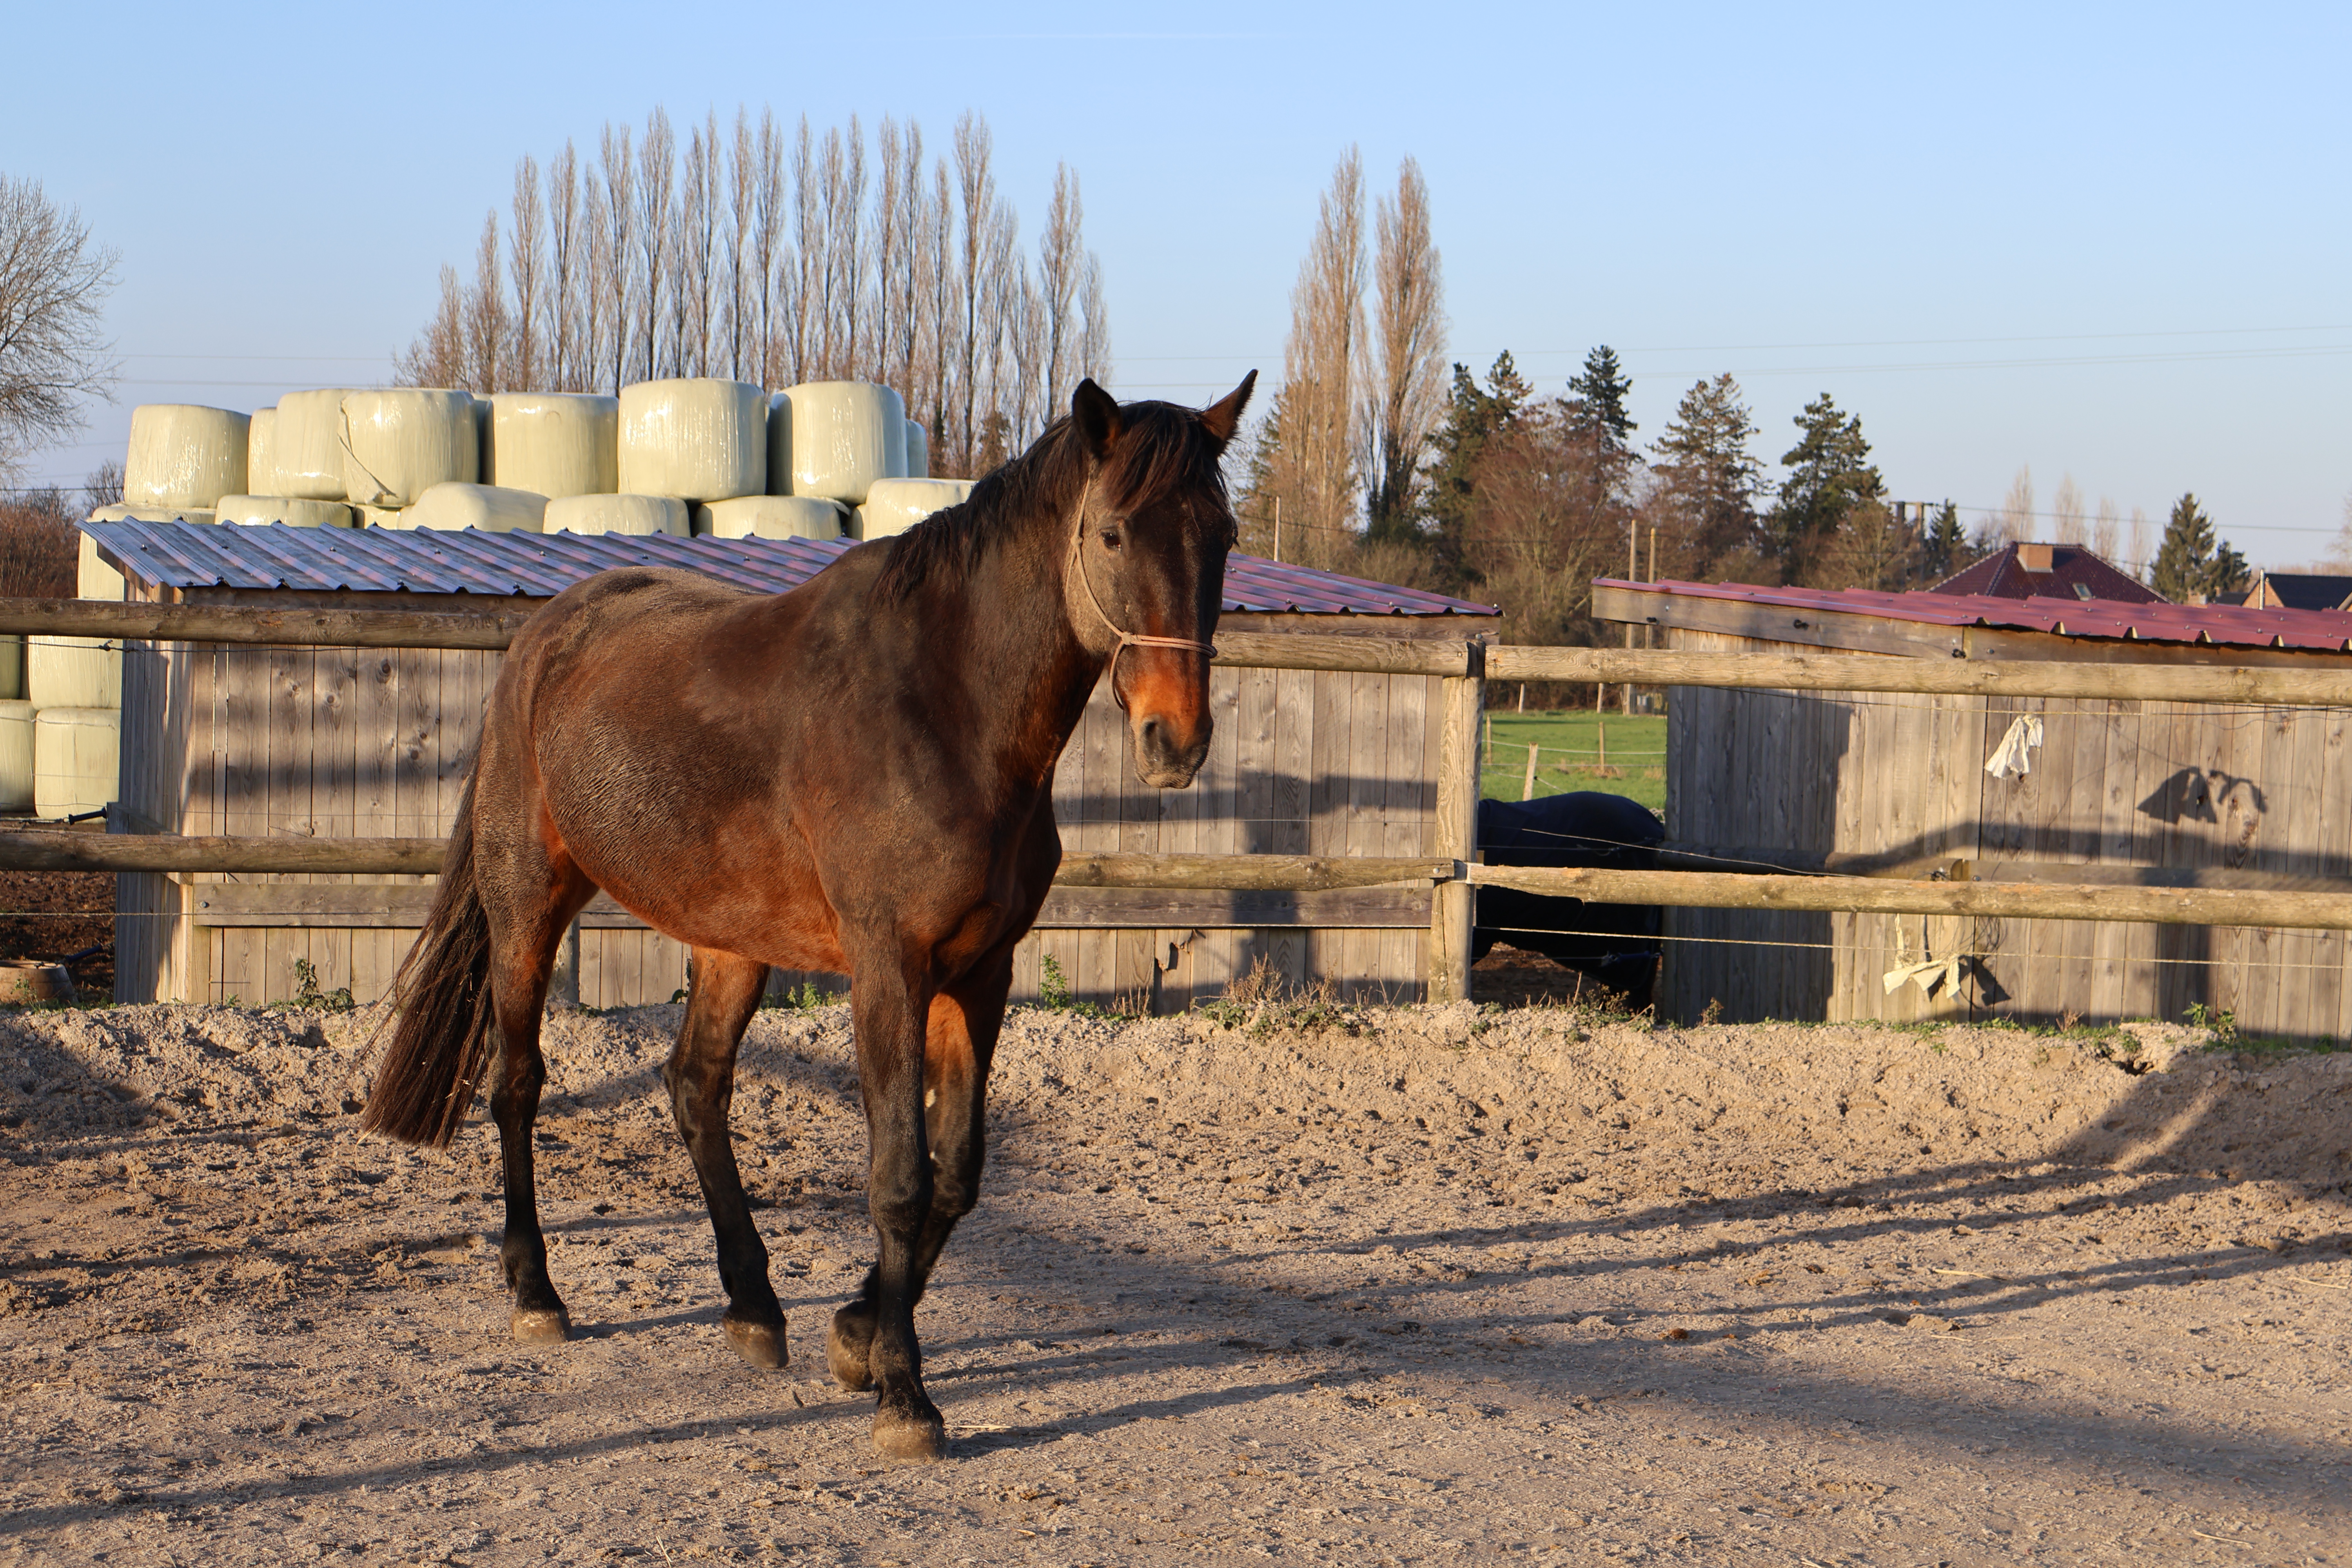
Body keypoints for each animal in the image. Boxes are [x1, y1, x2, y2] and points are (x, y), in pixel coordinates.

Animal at [360, 374, 1255, 1461]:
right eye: (1116, 532)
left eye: (1224, 534)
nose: (1178, 740)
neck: (946, 707)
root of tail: (546, 635)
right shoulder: (890, 966)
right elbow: (900, 1177)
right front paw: (904, 1394)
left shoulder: (980, 973)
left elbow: (956, 1175)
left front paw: (856, 1333)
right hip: (529, 903)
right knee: (519, 1086)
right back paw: (538, 1292)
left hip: (731, 942)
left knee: (695, 1086)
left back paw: (754, 1306)